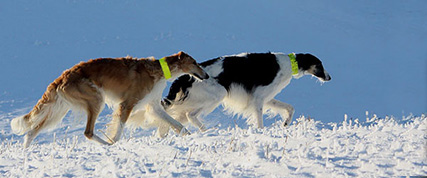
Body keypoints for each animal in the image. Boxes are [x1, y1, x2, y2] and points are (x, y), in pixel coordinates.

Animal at [10, 51, 208, 147]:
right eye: (195, 62)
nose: (206, 75)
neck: (158, 70)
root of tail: (62, 77)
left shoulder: (153, 106)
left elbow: (177, 124)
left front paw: (191, 135)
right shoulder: (127, 104)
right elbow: (119, 129)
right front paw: (113, 142)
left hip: (59, 110)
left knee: (31, 132)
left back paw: (25, 151)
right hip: (95, 99)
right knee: (88, 132)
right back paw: (106, 144)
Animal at [159, 52, 332, 133]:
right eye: (320, 65)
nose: (329, 77)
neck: (288, 65)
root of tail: (184, 77)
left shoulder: (266, 98)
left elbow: (290, 108)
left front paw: (285, 123)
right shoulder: (258, 98)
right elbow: (260, 122)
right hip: (217, 94)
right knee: (192, 115)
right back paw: (207, 131)